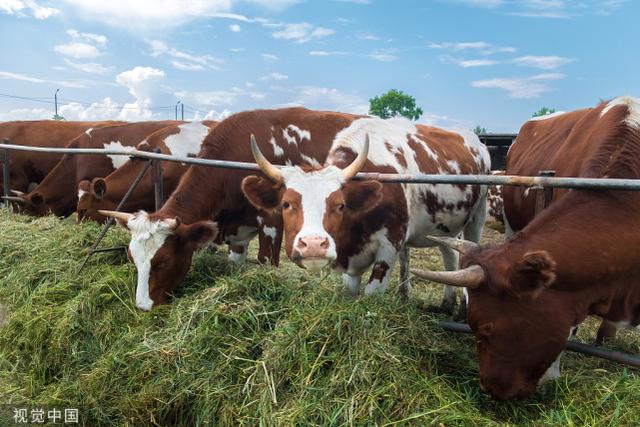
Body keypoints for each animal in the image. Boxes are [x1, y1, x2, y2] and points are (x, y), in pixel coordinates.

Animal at [242, 117, 488, 308]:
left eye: (340, 205)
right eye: (286, 204)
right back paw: (446, 303)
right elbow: (350, 292)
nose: (313, 245)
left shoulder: (390, 245)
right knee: (450, 255)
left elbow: (371, 294)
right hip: (445, 227)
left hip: (477, 217)